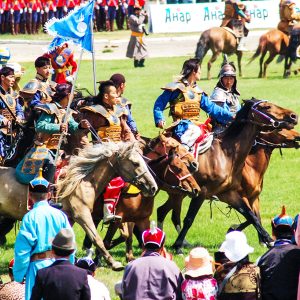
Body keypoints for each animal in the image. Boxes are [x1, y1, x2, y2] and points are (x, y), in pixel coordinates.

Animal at [0, 142, 158, 270]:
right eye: (135, 163)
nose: (153, 187)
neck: (82, 181)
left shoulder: (70, 218)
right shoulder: (82, 215)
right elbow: (97, 238)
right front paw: (114, 263)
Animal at [155, 99, 298, 253]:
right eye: (266, 107)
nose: (293, 116)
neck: (226, 155)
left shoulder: (230, 194)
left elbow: (251, 216)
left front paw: (269, 240)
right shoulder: (202, 192)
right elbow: (189, 219)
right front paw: (177, 245)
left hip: (177, 192)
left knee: (162, 211)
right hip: (178, 193)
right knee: (171, 214)